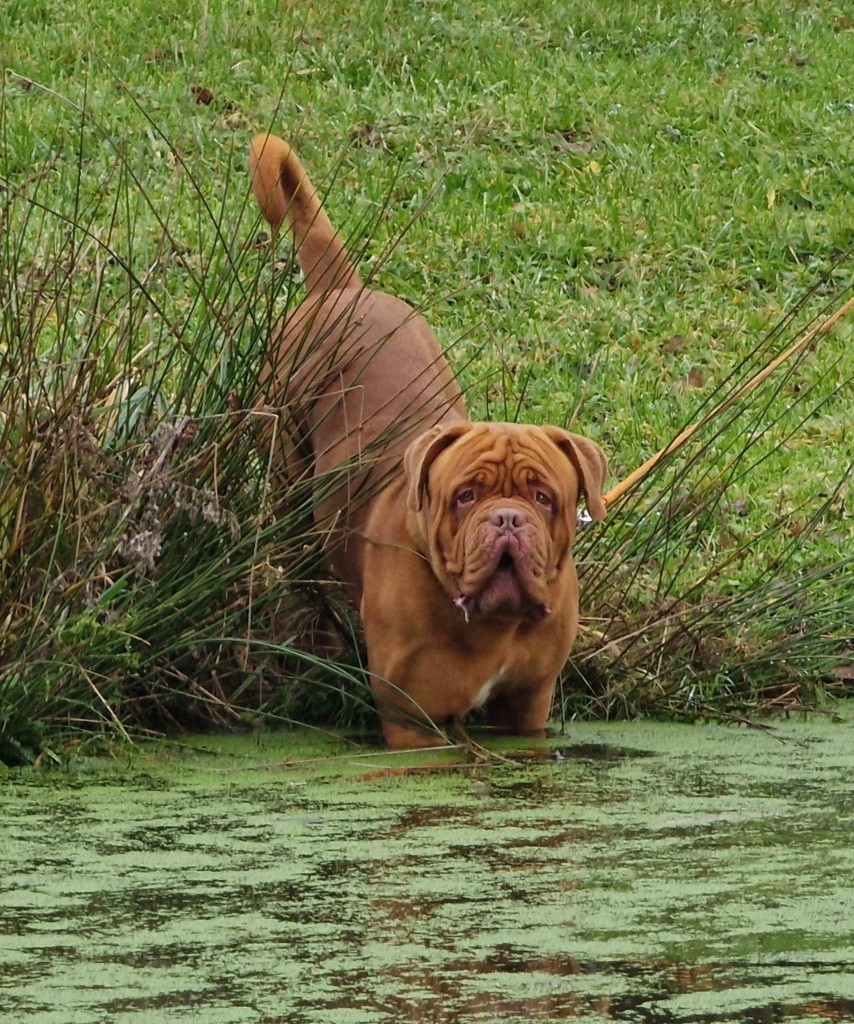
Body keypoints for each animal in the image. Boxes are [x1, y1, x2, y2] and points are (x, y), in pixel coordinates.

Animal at [247, 132, 606, 749]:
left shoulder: (527, 706)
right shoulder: (413, 721)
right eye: (465, 496)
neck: (492, 627)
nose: (507, 518)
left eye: (543, 498)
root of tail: (343, 287)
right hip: (287, 464)